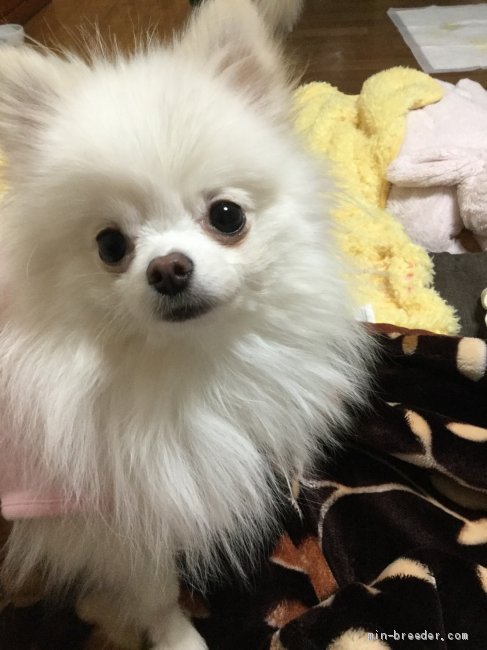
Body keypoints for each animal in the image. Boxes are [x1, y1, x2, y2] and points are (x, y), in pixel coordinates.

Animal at [0, 1, 372, 648]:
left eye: (226, 216)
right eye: (110, 245)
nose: (169, 268)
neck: (183, 366)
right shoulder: (107, 518)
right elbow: (154, 589)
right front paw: (171, 634)